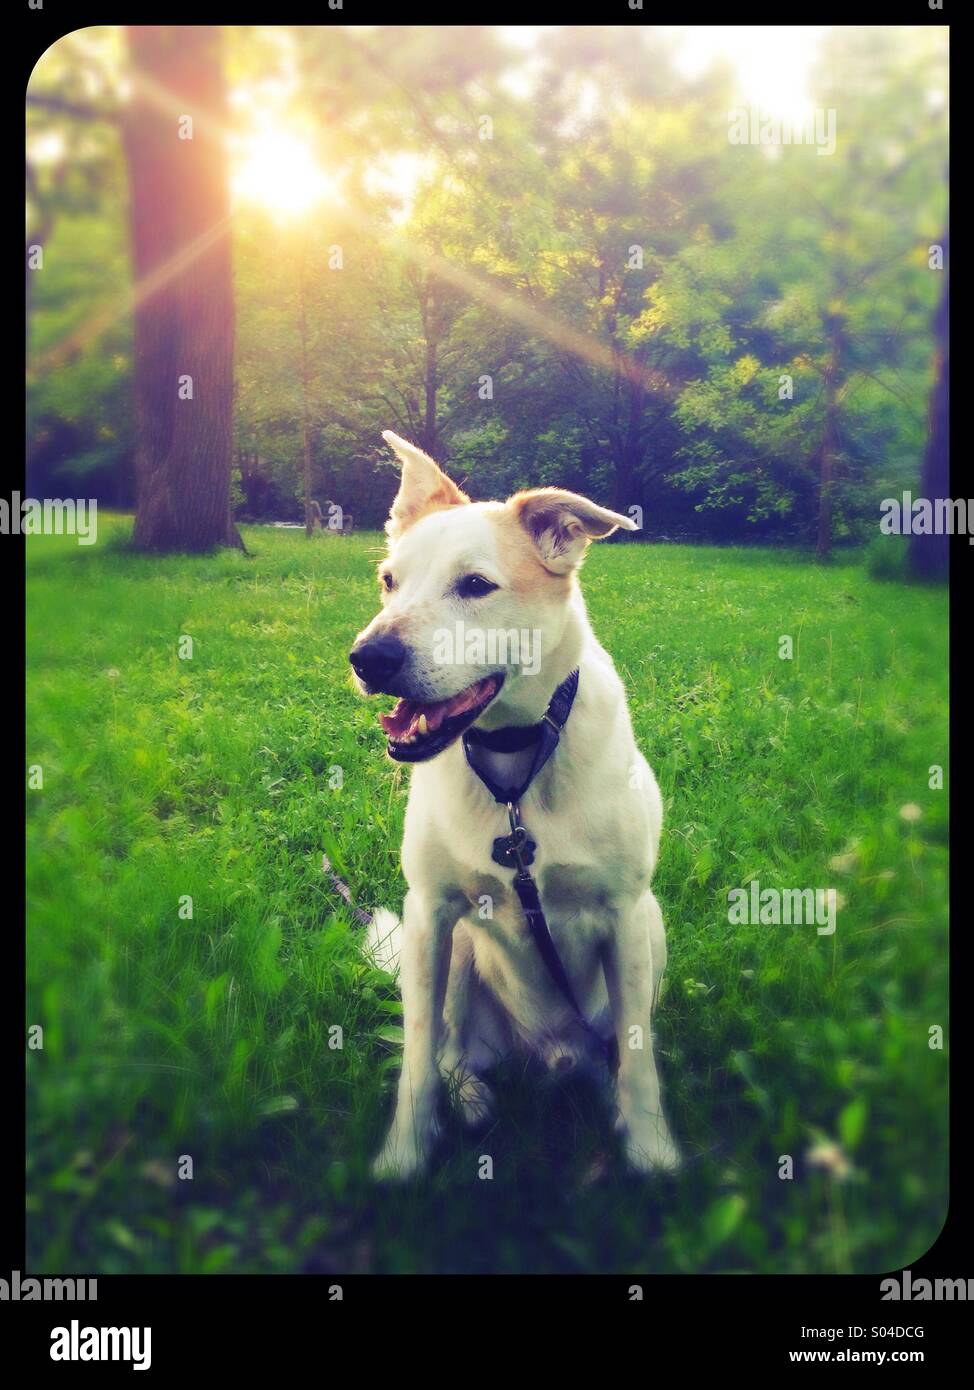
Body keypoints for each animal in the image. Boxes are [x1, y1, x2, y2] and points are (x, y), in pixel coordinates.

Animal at [347, 430, 675, 1173]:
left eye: (475, 586)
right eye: (389, 581)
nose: (368, 658)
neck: (515, 769)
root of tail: (544, 1055)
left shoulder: (625, 913)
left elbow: (639, 1058)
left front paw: (652, 1149)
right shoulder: (430, 913)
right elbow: (417, 1059)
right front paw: (403, 1157)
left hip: (654, 929)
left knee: (613, 1054)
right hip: (459, 954)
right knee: (450, 1052)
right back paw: (471, 1099)